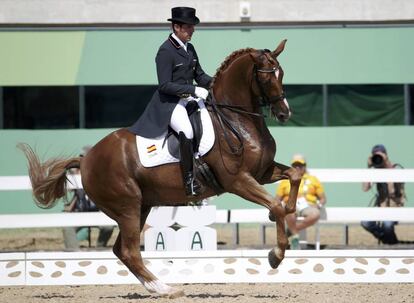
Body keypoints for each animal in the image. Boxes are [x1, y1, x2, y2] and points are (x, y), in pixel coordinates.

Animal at [19, 40, 300, 300]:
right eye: (266, 76)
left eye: (282, 73)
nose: (284, 113)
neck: (235, 120)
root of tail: (86, 159)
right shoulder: (238, 181)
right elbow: (275, 205)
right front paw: (276, 255)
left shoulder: (262, 173)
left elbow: (294, 178)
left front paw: (285, 213)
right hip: (128, 206)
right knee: (130, 251)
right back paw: (166, 289)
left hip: (140, 206)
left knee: (121, 250)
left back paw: (157, 287)